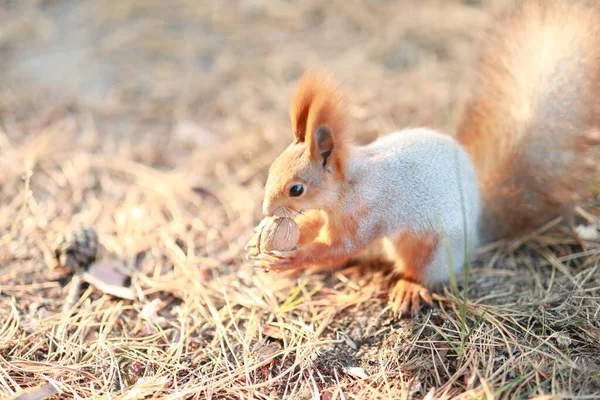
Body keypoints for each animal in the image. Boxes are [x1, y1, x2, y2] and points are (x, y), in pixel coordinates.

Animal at [244, 0, 600, 318]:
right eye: (271, 168)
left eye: (297, 190)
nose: (266, 211)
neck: (351, 185)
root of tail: (476, 232)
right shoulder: (330, 211)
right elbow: (313, 224)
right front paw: (260, 237)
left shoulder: (365, 215)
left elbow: (337, 248)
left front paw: (287, 260)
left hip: (430, 250)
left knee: (420, 272)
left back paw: (409, 288)